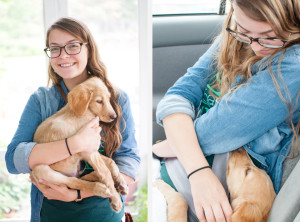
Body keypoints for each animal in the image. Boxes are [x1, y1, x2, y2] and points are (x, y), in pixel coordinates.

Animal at [31, 77, 127, 212]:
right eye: (99, 101)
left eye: (109, 98)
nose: (114, 116)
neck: (85, 112)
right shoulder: (87, 149)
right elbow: (105, 172)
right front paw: (115, 200)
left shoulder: (91, 149)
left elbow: (110, 161)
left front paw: (120, 181)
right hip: (41, 170)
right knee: (72, 181)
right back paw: (100, 188)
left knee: (79, 179)